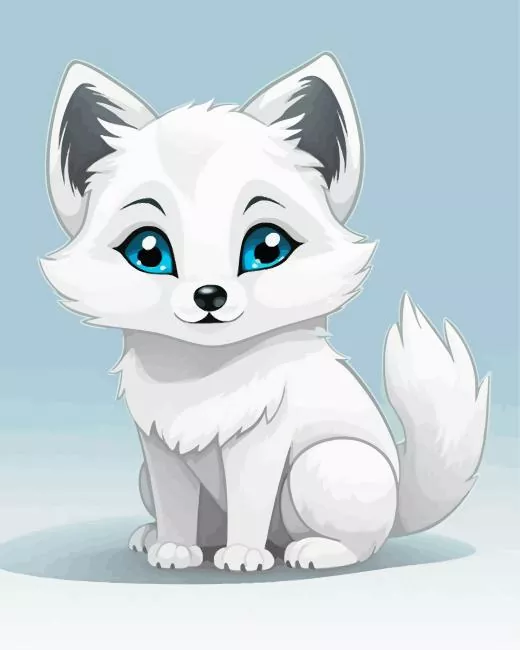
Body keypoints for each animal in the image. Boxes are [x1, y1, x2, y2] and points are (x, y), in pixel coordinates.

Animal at [41, 52, 490, 572]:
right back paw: (160, 538)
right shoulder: (159, 448)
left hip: (326, 465)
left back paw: (312, 550)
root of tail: (401, 499)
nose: (209, 295)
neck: (203, 376)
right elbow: (177, 505)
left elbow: (249, 503)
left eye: (267, 247)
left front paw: (243, 556)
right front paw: (174, 548)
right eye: (148, 251)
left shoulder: (263, 441)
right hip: (146, 479)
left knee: (364, 543)